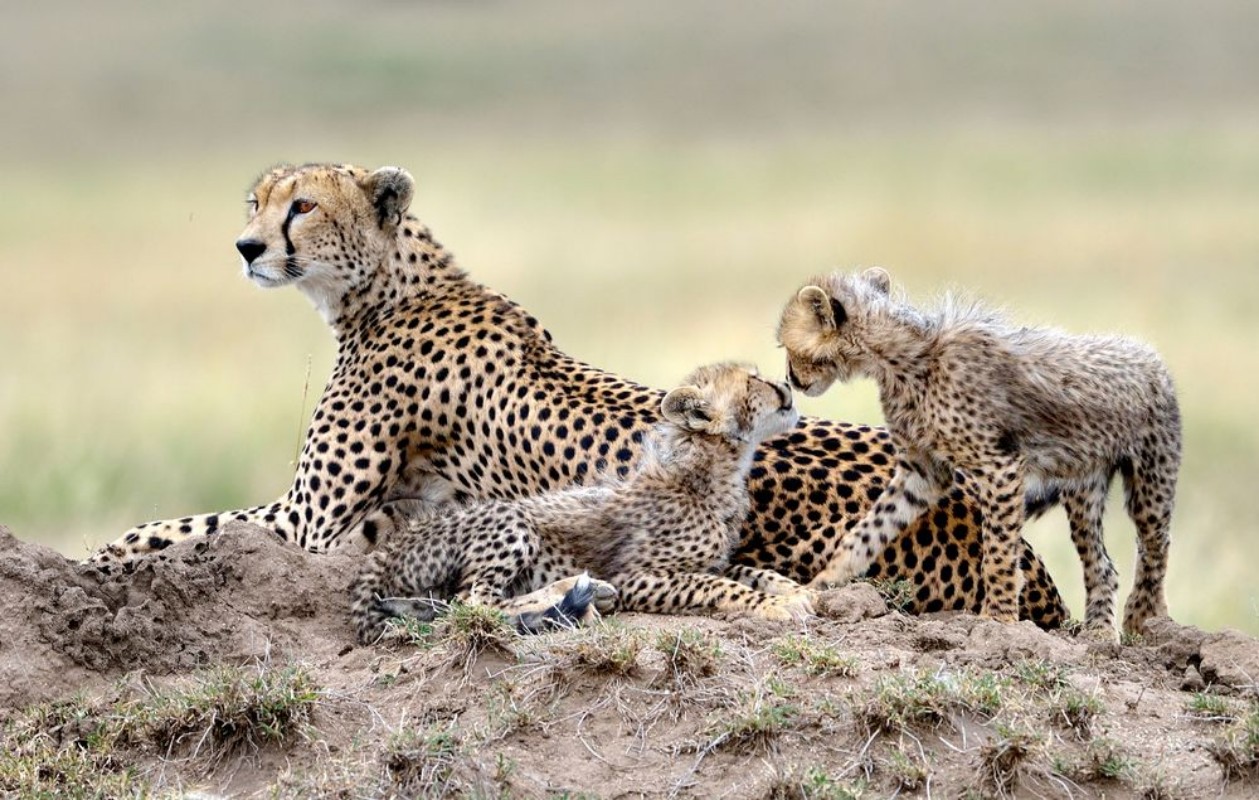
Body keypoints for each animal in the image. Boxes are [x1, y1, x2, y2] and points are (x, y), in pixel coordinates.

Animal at [350, 361, 812, 642]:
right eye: (753, 381)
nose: (787, 385)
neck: (706, 470)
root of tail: (387, 549)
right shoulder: (638, 575)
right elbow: (719, 585)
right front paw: (776, 605)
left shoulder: (711, 560)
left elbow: (749, 571)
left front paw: (795, 592)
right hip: (511, 520)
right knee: (472, 607)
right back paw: (578, 599)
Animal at [777, 266, 1181, 638]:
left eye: (786, 346)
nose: (791, 379)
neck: (901, 357)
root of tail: (1149, 354)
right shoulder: (922, 475)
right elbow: (867, 530)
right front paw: (823, 584)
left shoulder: (1001, 467)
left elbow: (998, 552)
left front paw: (998, 620)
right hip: (1083, 486)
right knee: (1101, 564)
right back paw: (1099, 633)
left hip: (1152, 477)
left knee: (1155, 545)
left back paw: (1147, 620)